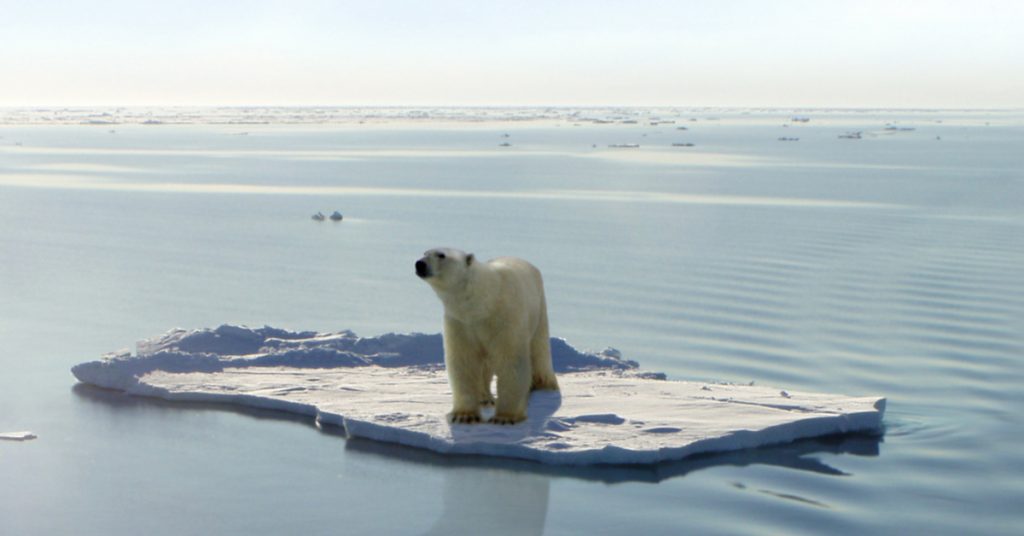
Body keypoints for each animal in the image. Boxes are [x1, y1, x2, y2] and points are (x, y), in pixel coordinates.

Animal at [415, 250, 561, 426]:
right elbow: (464, 361)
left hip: (539, 311)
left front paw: (505, 417)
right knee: (485, 365)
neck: (483, 302)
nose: (420, 264)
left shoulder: (506, 318)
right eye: (424, 253)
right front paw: (464, 416)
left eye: (441, 254)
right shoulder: (461, 322)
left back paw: (544, 386)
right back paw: (485, 398)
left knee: (539, 352)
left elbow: (511, 360)